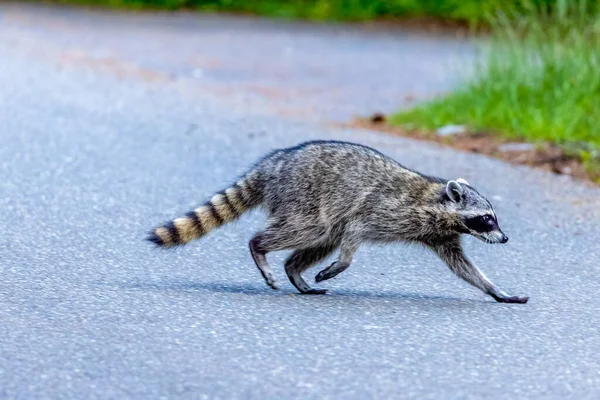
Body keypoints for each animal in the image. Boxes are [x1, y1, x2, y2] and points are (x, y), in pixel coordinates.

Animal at [148, 140, 528, 304]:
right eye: (487, 219)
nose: (505, 238)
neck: (438, 202)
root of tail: (274, 163)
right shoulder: (388, 211)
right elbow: (355, 232)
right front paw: (343, 263)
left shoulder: (441, 236)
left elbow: (463, 266)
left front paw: (495, 289)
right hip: (302, 196)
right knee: (310, 230)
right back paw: (260, 249)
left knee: (323, 237)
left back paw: (294, 271)